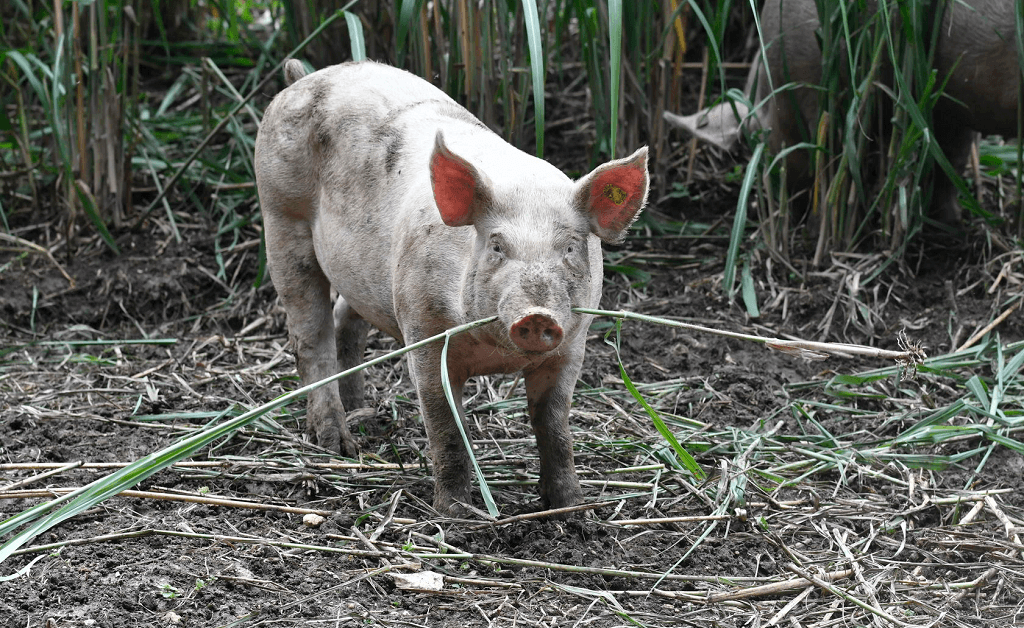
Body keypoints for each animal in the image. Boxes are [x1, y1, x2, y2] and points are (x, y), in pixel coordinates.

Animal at [253, 59, 647, 514]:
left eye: (569, 247)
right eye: (496, 246)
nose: (537, 315)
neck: (496, 354)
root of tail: (304, 77)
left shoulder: (572, 345)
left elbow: (554, 426)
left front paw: (572, 511)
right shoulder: (422, 330)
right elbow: (446, 427)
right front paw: (456, 515)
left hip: (366, 273)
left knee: (345, 319)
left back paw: (362, 411)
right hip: (280, 216)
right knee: (309, 335)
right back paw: (339, 445)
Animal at [663, 0, 1015, 223]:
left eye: (757, 142)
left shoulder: (816, 86)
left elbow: (826, 162)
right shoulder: (948, 104)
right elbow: (948, 163)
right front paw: (950, 222)